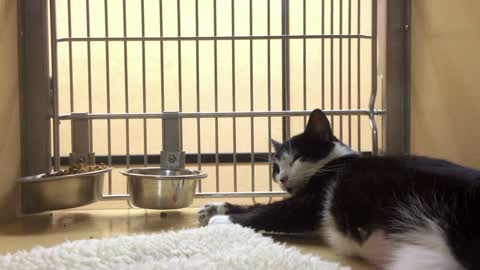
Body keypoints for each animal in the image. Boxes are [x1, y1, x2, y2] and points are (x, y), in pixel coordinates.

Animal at [197, 108, 480, 268]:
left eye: (296, 158)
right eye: (276, 167)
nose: (283, 178)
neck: (333, 162)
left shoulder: (311, 202)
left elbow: (271, 212)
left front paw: (220, 221)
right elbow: (260, 204)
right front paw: (214, 207)